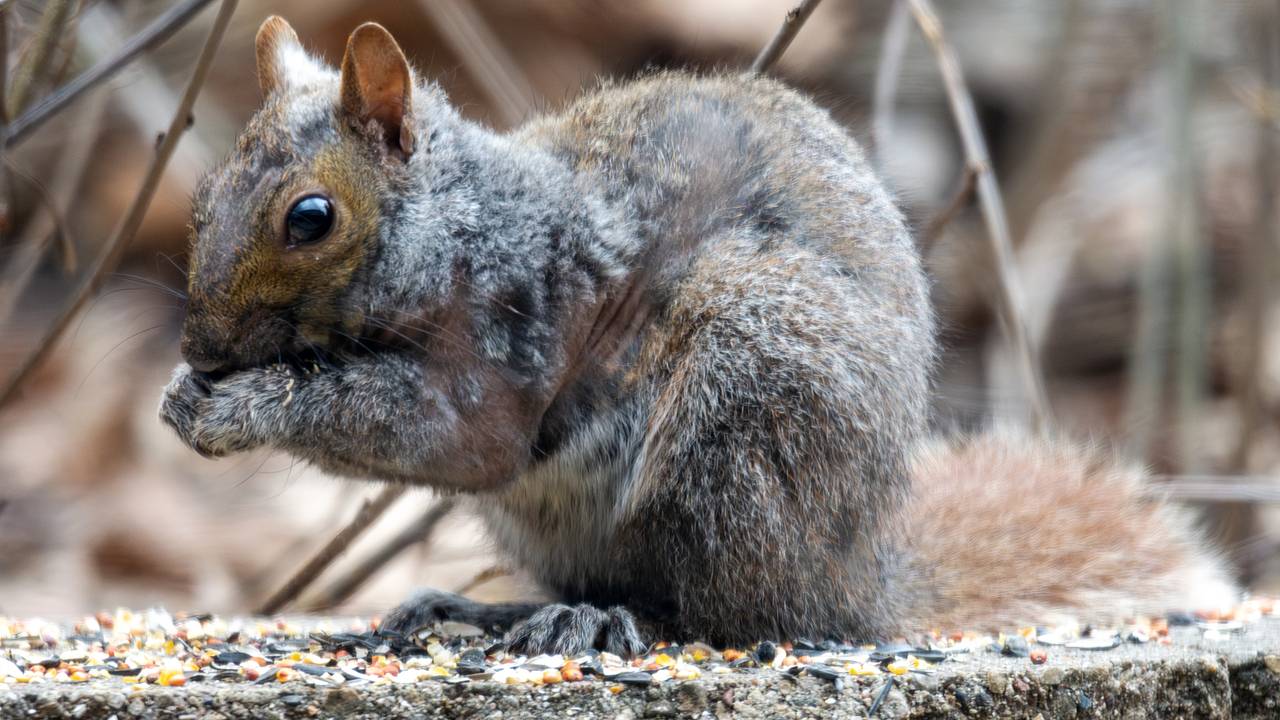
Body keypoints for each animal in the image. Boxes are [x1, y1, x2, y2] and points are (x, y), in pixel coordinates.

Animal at [159, 17, 1234, 656]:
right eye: (204, 198)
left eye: (311, 218)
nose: (202, 349)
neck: (461, 227)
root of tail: (859, 582)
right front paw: (182, 396)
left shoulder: (506, 347)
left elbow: (436, 437)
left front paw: (241, 408)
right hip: (563, 515)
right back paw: (490, 606)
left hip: (742, 405)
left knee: (725, 613)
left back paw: (606, 618)